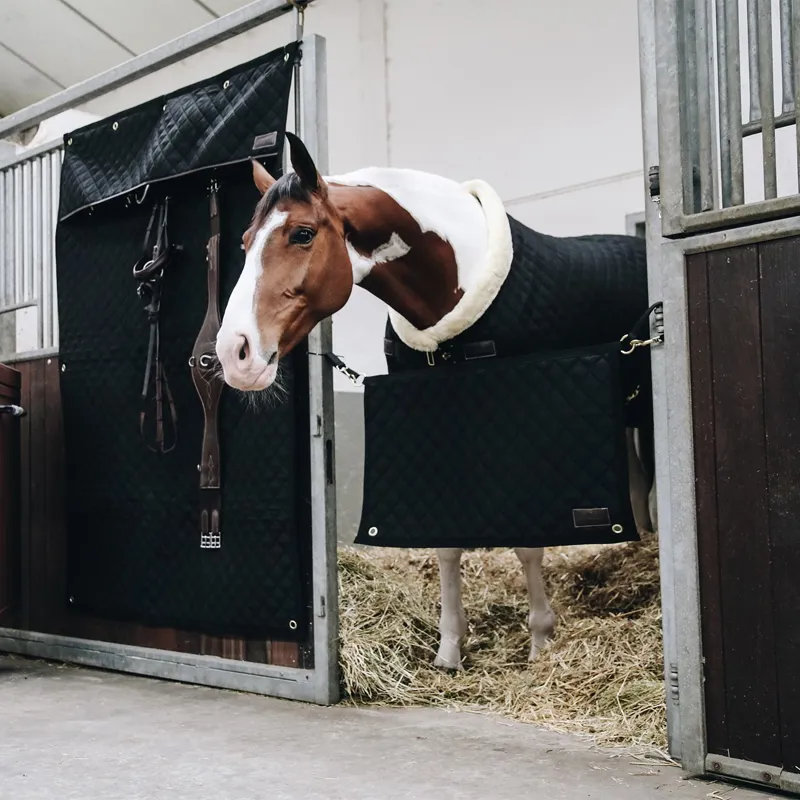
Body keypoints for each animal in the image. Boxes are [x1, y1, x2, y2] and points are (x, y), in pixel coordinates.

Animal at [215, 131, 656, 670]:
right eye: (244, 243)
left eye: (301, 233)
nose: (233, 354)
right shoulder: (433, 417)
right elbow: (446, 541)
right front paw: (450, 649)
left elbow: (528, 543)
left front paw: (540, 640)